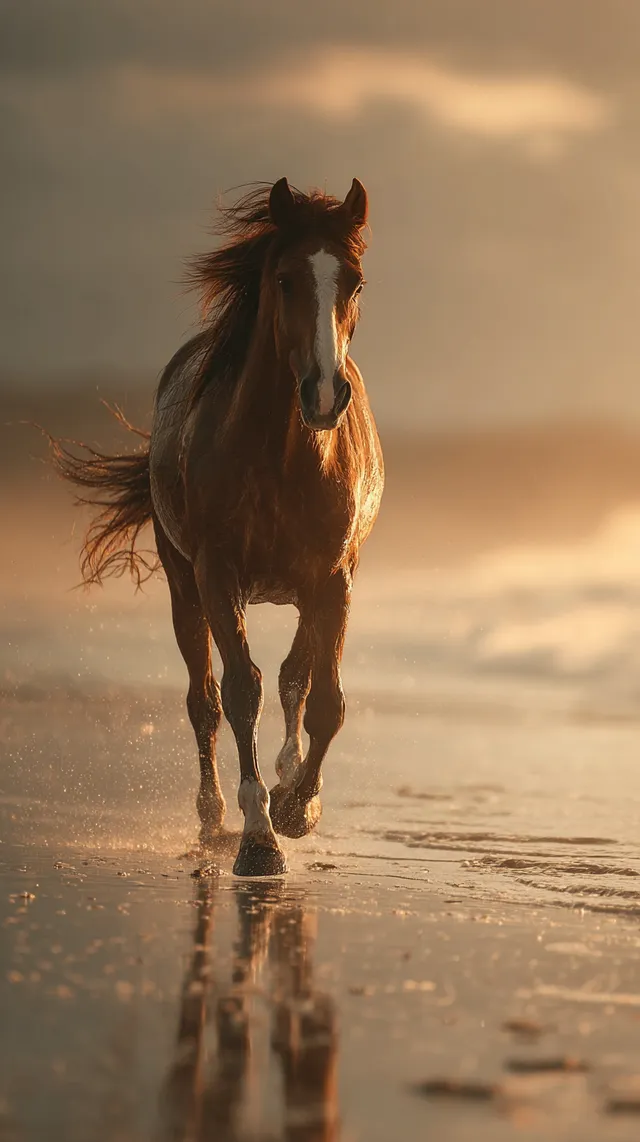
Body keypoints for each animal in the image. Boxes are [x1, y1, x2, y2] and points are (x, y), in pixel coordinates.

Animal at [52, 177, 384, 877]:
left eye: (355, 282)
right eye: (285, 279)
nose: (324, 394)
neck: (286, 455)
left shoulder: (333, 578)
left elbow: (325, 701)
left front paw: (297, 807)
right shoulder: (217, 573)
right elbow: (239, 692)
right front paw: (259, 835)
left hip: (307, 590)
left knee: (294, 678)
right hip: (184, 587)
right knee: (202, 703)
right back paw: (212, 818)